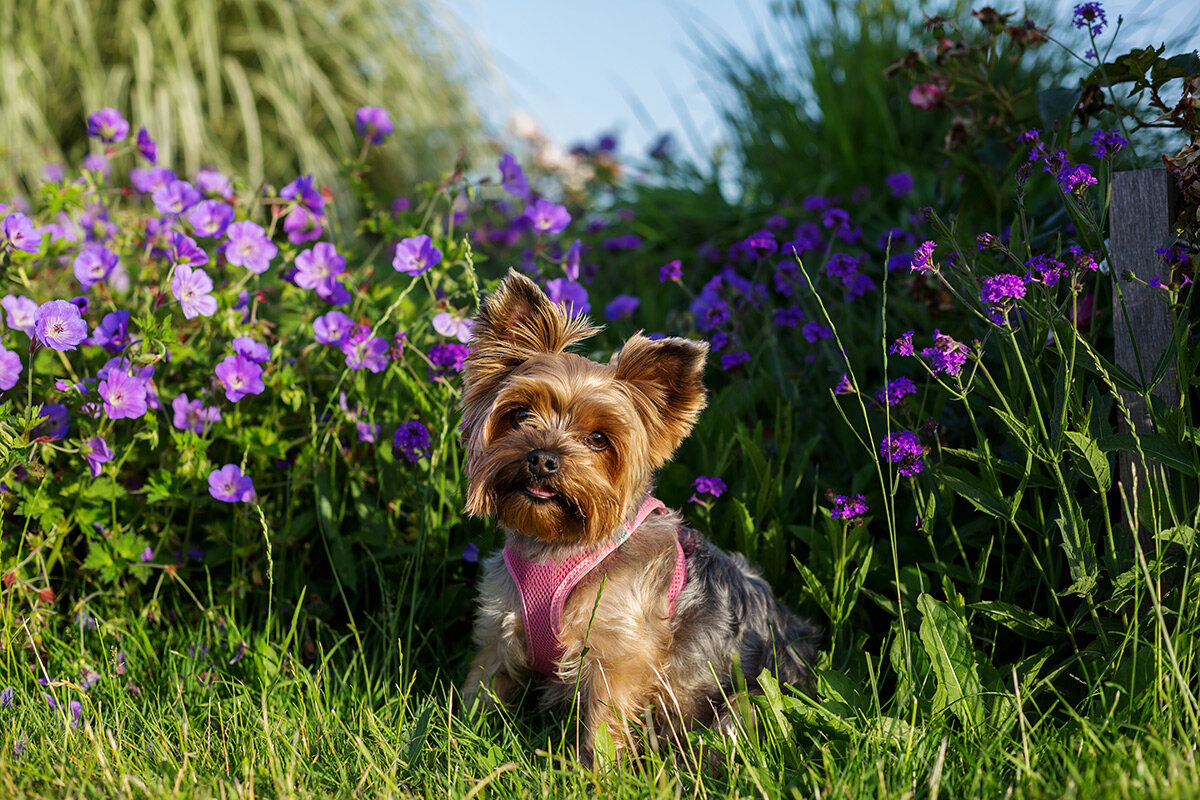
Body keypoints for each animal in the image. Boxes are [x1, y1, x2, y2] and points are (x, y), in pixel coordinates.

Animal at [456, 268, 816, 762]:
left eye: (598, 439)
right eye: (520, 413)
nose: (543, 458)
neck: (557, 544)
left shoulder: (616, 653)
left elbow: (602, 724)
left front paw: (594, 771)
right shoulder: (500, 626)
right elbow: (483, 687)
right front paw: (450, 738)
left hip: (749, 700)